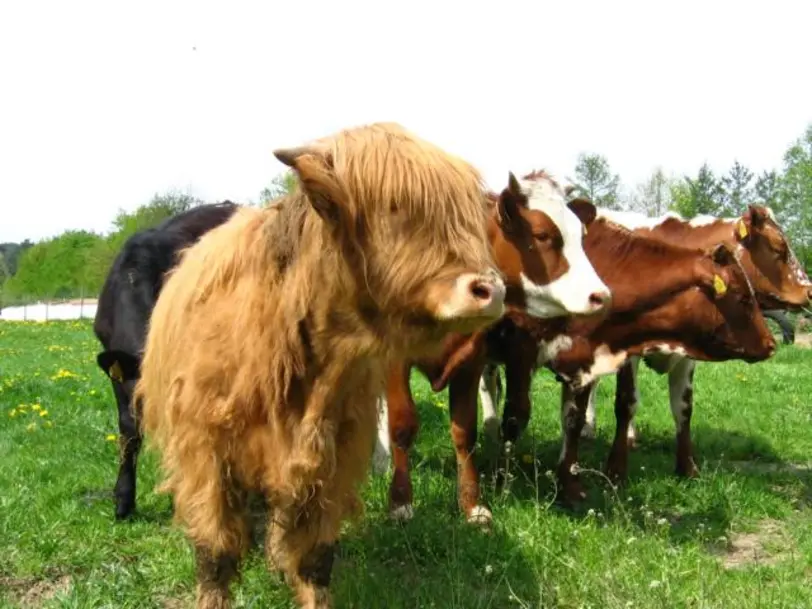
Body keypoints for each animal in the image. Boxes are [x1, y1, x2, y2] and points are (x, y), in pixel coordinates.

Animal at [576, 204, 812, 480]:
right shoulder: (628, 351)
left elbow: (683, 405)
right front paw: (615, 469)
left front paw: (687, 468)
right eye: (779, 248)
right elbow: (626, 401)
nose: (809, 290)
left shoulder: (687, 355)